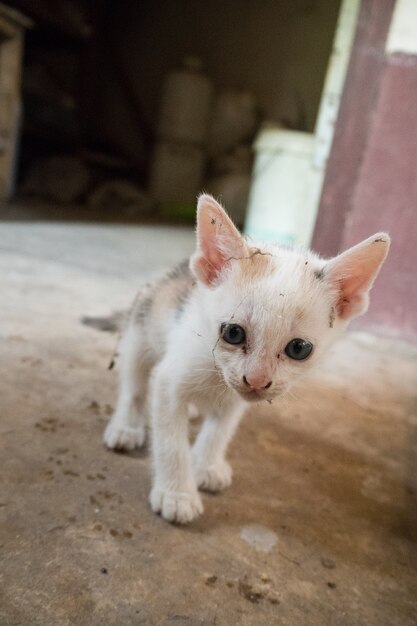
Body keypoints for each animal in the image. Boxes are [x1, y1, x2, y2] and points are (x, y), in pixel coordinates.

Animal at [102, 194, 388, 520]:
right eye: (233, 333)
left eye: (299, 348)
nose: (257, 380)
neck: (216, 377)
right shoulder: (170, 379)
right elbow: (170, 440)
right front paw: (177, 494)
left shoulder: (236, 398)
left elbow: (221, 428)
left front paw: (206, 464)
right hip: (141, 323)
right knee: (134, 383)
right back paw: (126, 426)